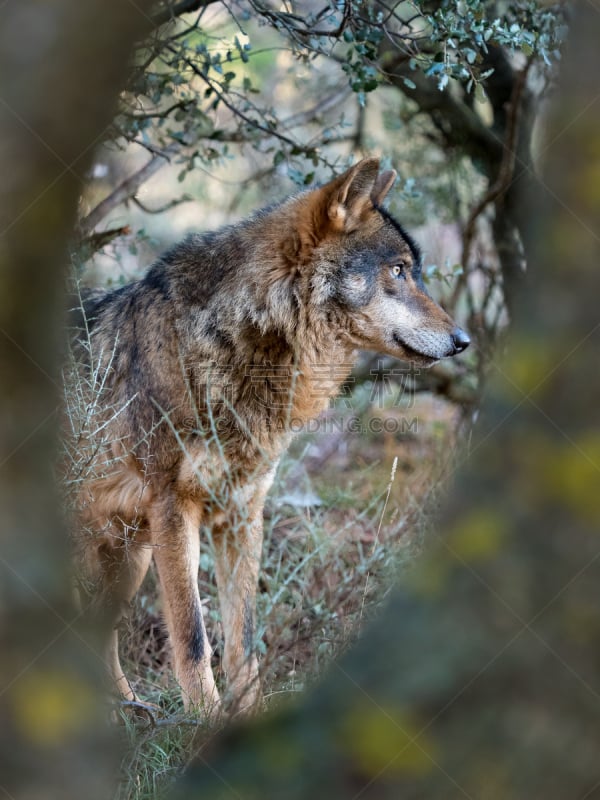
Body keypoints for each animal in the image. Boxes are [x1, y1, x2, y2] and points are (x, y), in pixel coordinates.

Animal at [72, 158, 468, 720]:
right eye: (398, 270)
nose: (464, 341)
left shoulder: (243, 513)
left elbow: (243, 640)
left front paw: (246, 718)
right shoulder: (175, 508)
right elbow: (193, 637)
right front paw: (204, 722)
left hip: (130, 554)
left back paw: (127, 709)